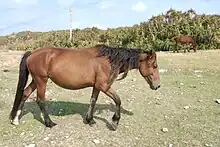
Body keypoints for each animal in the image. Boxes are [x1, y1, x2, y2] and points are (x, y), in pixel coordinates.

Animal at [9, 44, 161, 130]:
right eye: (154, 65)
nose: (157, 85)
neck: (108, 60)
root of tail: (32, 54)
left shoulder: (97, 86)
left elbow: (92, 101)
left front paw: (90, 120)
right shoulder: (104, 86)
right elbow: (118, 100)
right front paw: (114, 122)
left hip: (36, 81)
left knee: (25, 93)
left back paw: (15, 120)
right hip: (41, 81)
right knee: (40, 100)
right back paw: (49, 123)